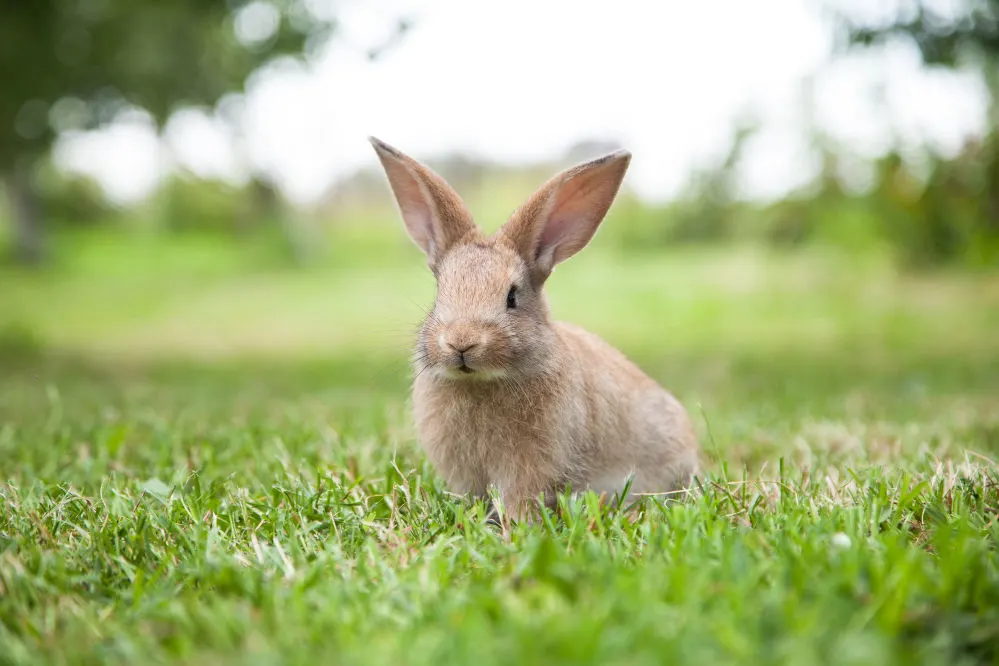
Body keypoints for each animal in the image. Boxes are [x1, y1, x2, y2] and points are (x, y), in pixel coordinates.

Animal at [370, 135, 704, 520]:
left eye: (512, 297)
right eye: (439, 293)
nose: (461, 342)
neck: (480, 382)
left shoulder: (532, 466)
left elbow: (521, 498)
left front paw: (516, 526)